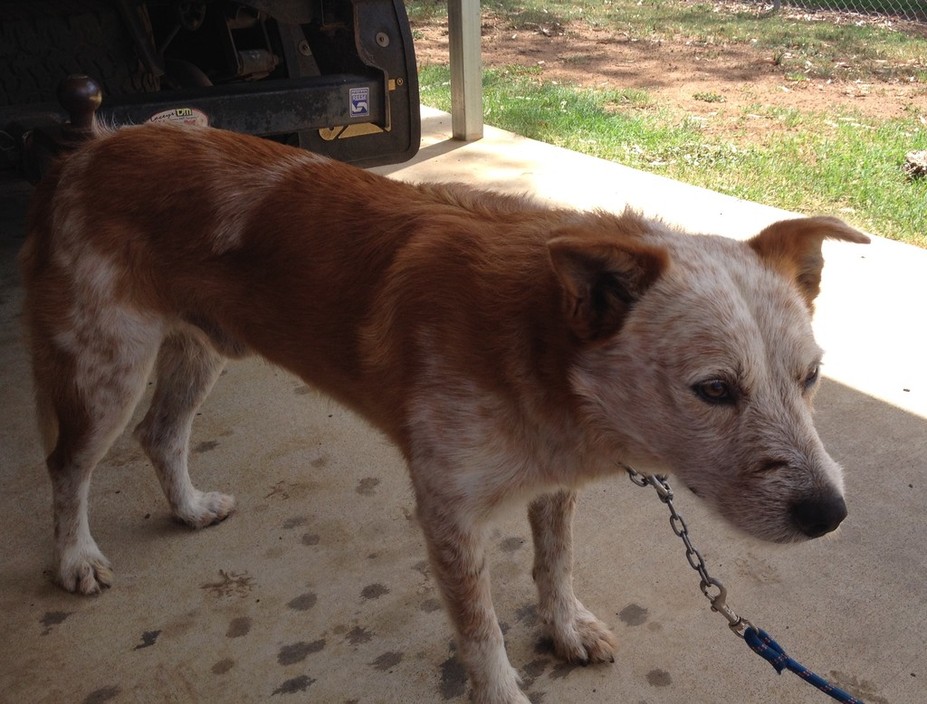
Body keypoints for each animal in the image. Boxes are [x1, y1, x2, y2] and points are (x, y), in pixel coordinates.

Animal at [20, 125, 872, 704]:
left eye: (810, 378)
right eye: (714, 390)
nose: (828, 515)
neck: (537, 350)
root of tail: (90, 148)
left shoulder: (551, 485)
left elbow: (554, 566)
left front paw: (564, 630)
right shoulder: (448, 514)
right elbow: (479, 628)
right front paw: (502, 689)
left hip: (198, 350)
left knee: (161, 434)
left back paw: (190, 508)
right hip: (106, 369)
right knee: (67, 464)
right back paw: (74, 558)